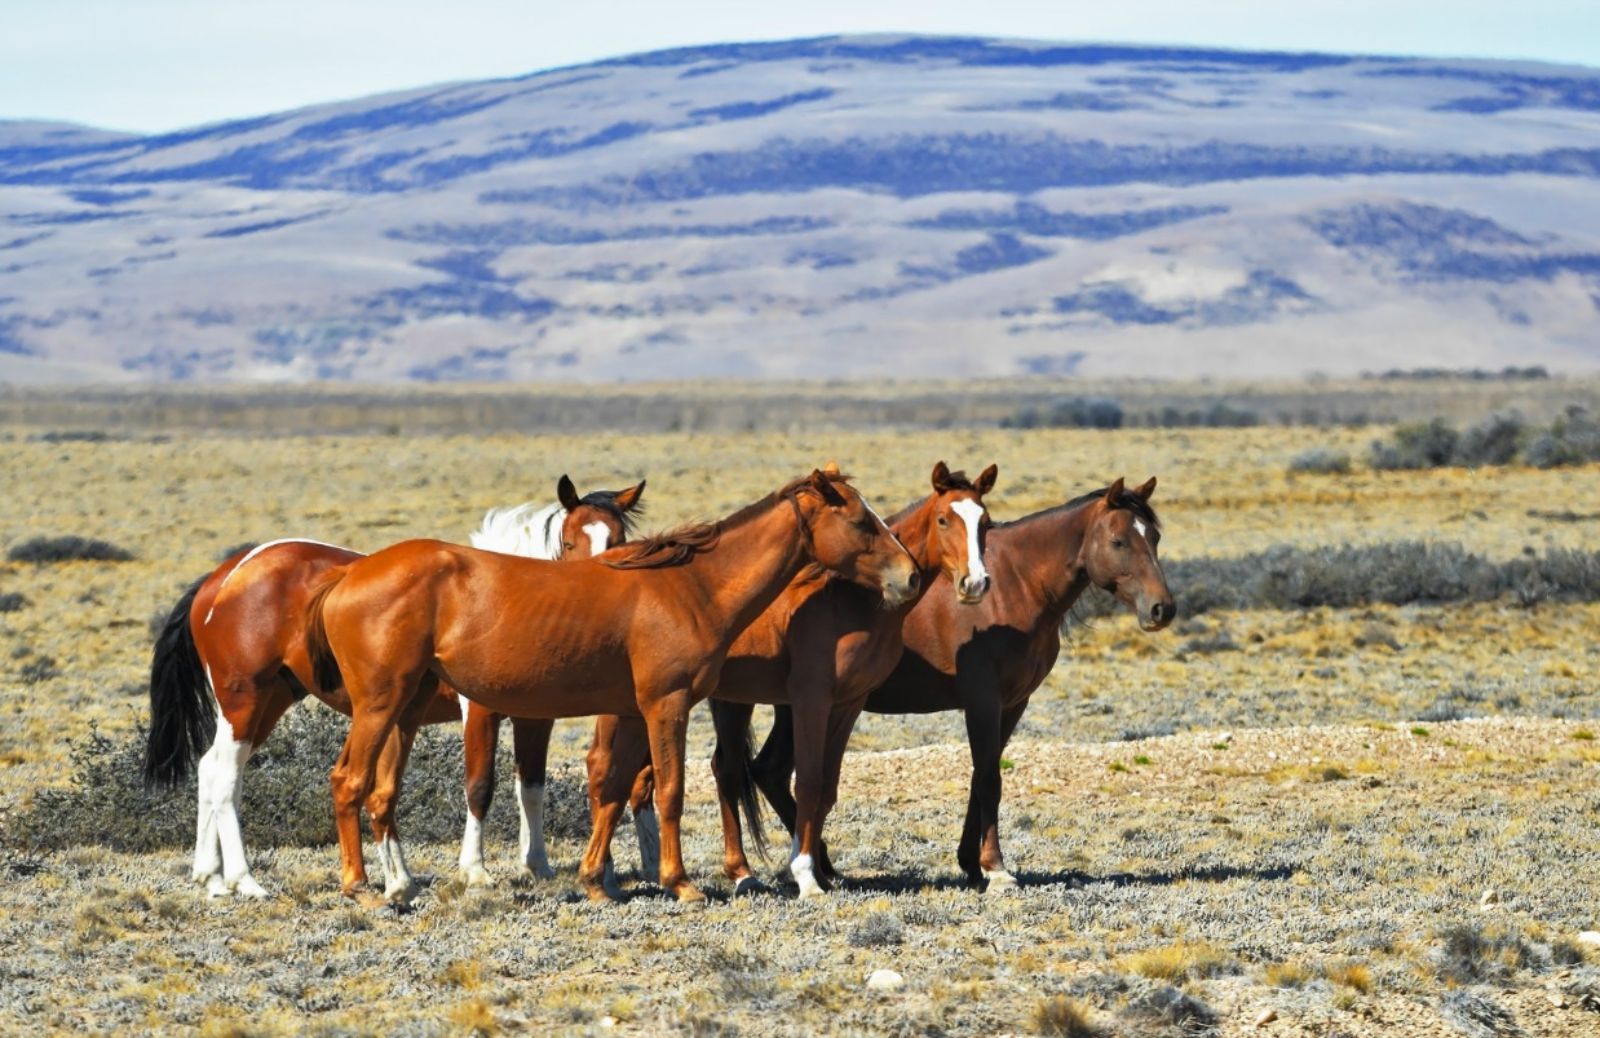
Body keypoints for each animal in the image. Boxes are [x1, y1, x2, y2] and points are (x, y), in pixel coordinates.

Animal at [142, 473, 643, 895]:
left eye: (619, 540)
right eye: (571, 541)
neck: (513, 594)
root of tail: (223, 578)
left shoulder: (535, 718)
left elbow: (532, 788)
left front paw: (537, 864)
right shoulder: (479, 713)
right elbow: (480, 785)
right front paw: (475, 869)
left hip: (269, 702)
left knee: (211, 768)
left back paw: (210, 877)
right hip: (245, 699)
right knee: (226, 774)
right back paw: (245, 880)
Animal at [305, 467, 921, 902]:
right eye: (861, 521)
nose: (911, 576)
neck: (690, 586)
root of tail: (348, 573)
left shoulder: (628, 712)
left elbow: (613, 789)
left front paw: (596, 881)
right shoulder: (666, 706)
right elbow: (669, 791)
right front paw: (679, 883)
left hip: (404, 711)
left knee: (380, 792)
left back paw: (398, 885)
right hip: (380, 706)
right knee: (348, 781)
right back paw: (361, 888)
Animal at [582, 457, 992, 895]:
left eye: (985, 522)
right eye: (945, 519)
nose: (974, 582)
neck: (851, 602)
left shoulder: (849, 703)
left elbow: (826, 787)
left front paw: (821, 872)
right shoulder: (810, 700)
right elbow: (807, 781)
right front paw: (806, 874)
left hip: (726, 701)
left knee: (721, 770)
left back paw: (739, 871)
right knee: (603, 768)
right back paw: (608, 876)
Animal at [748, 476, 1177, 889]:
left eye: (1155, 537)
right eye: (1118, 541)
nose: (1162, 609)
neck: (1014, 585)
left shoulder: (1013, 704)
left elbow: (981, 777)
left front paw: (972, 863)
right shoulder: (983, 700)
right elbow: (988, 779)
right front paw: (996, 868)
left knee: (770, 770)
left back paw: (821, 863)